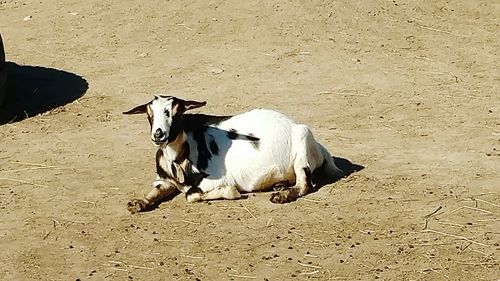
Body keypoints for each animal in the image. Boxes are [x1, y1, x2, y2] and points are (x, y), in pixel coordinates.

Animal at [122, 95, 342, 212]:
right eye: (149, 114)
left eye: (177, 112)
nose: (159, 134)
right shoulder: (164, 180)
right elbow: (155, 191)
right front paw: (138, 203)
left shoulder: (215, 179)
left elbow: (191, 195)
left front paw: (231, 192)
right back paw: (279, 185)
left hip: (302, 144)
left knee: (305, 184)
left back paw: (282, 195)